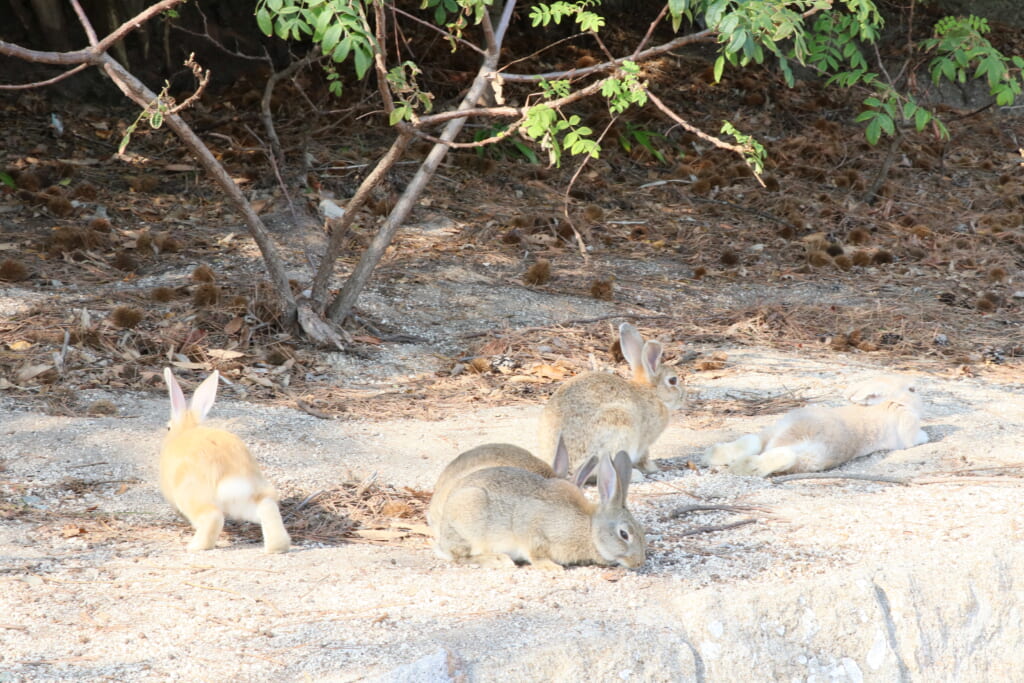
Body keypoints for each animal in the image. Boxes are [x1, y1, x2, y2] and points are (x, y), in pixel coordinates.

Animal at [159, 368, 290, 557]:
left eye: (168, 427)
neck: (186, 430)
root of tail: (234, 478)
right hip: (249, 502)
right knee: (268, 508)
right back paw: (277, 548)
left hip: (193, 497)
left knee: (212, 517)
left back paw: (194, 547)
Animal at [434, 448, 643, 573]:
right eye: (624, 534)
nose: (638, 562)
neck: (589, 529)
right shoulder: (533, 528)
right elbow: (535, 552)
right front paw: (551, 567)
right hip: (471, 519)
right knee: (461, 556)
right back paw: (500, 560)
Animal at [536, 325, 688, 475]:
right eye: (673, 381)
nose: (683, 398)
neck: (652, 392)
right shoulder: (644, 441)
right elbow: (644, 457)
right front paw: (652, 468)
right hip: (619, 425)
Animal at [712, 374, 929, 481]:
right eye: (912, 389)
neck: (892, 402)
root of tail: (794, 435)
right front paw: (926, 436)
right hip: (814, 456)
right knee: (782, 456)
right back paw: (743, 467)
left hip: (778, 428)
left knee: (753, 442)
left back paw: (713, 456)